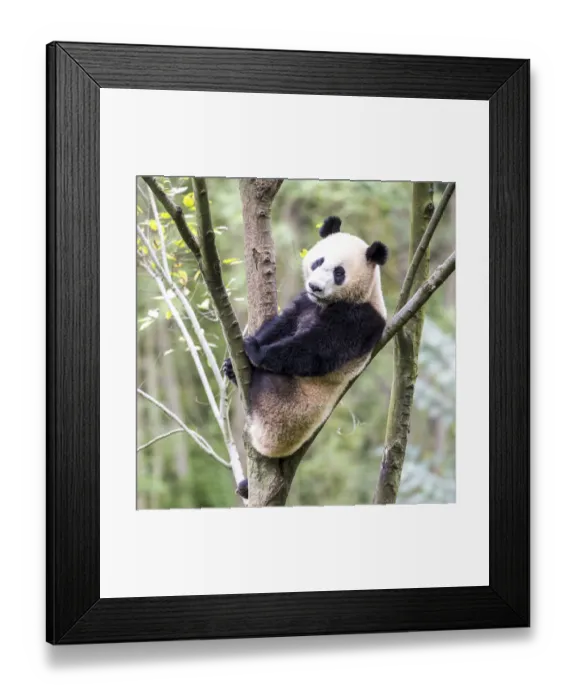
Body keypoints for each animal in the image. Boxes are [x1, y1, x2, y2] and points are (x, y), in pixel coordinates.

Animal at [223, 215, 389, 465]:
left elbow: (319, 349)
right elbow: (282, 324)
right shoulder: (305, 302)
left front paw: (255, 351)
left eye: (339, 273)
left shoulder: (361, 319)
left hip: (285, 406)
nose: (315, 287)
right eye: (318, 261)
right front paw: (235, 359)